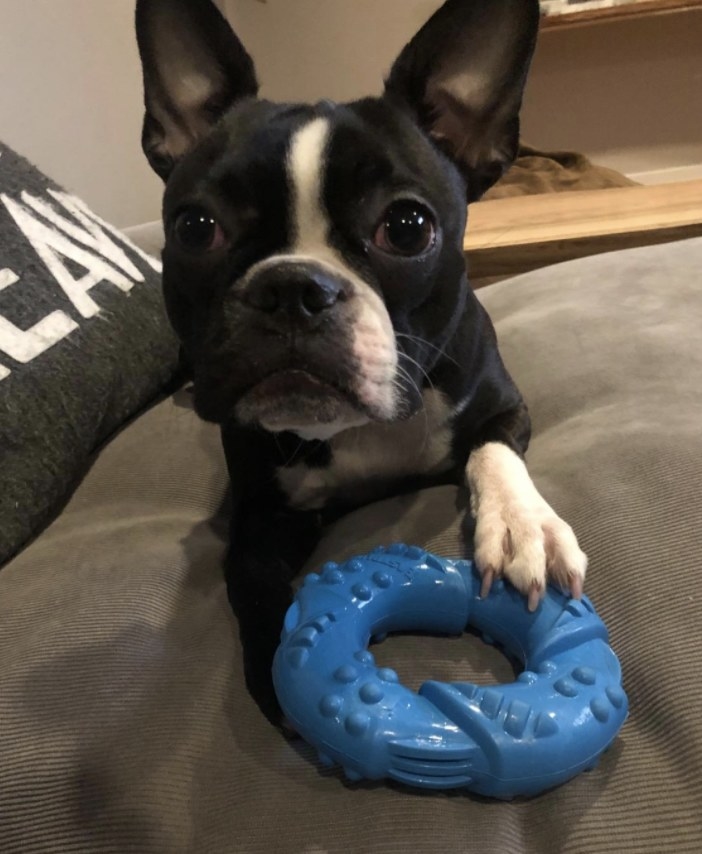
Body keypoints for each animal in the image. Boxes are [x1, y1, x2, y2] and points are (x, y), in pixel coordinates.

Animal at [136, 0, 588, 728]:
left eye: (406, 227)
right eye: (195, 228)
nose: (291, 288)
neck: (367, 431)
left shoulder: (503, 405)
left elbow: (492, 451)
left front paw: (524, 528)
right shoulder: (262, 510)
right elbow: (248, 575)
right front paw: (279, 659)